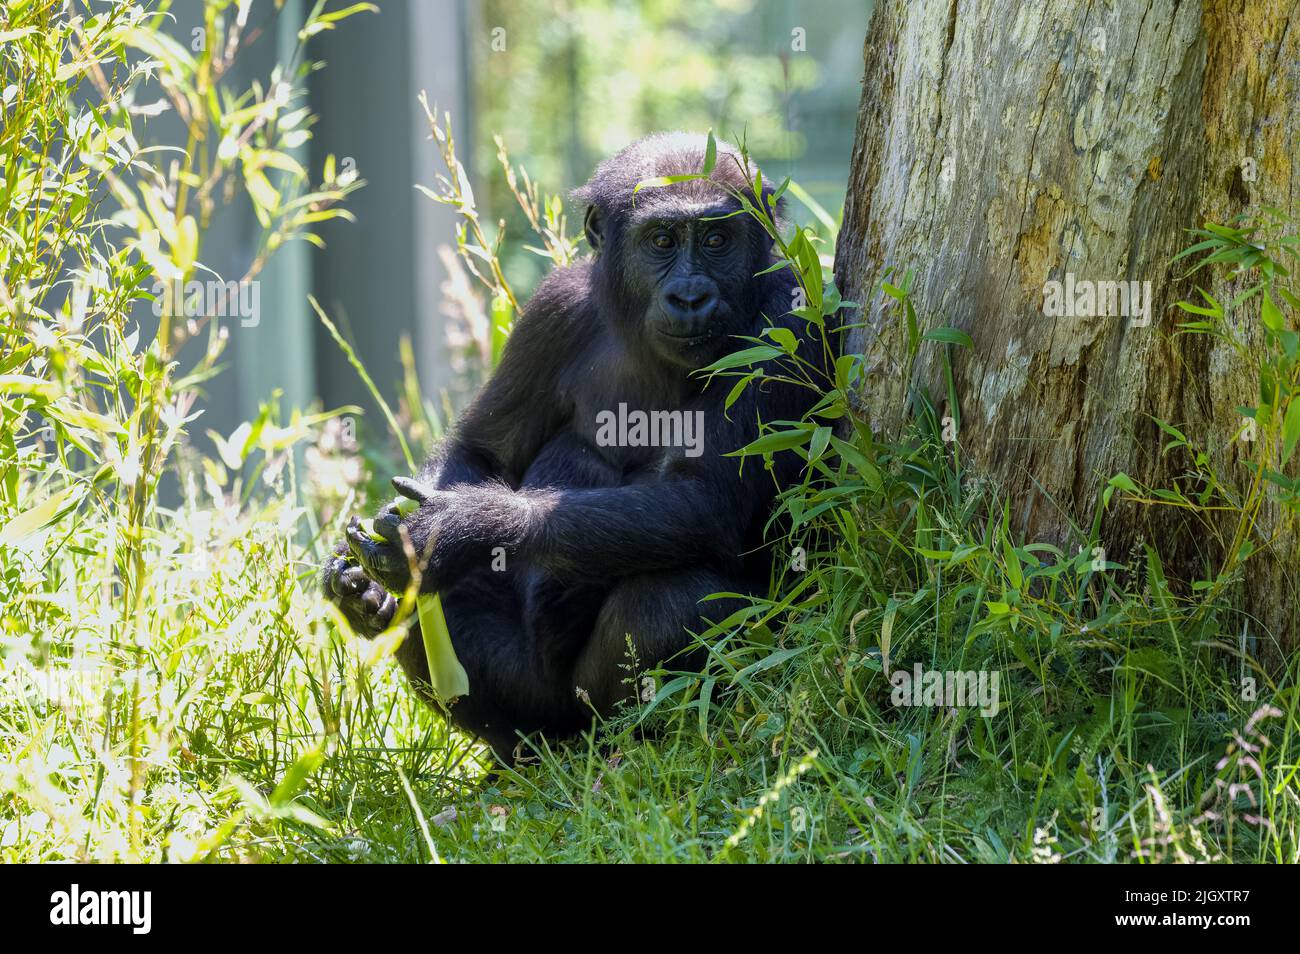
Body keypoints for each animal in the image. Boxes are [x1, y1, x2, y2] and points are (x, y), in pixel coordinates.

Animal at [322, 134, 811, 764]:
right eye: (661, 241)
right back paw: (380, 614)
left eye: (717, 240)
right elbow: (483, 452)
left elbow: (705, 499)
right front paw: (394, 563)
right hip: (530, 702)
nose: (691, 296)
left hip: (590, 709)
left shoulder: (788, 317)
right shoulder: (552, 310)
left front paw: (460, 528)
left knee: (677, 604)